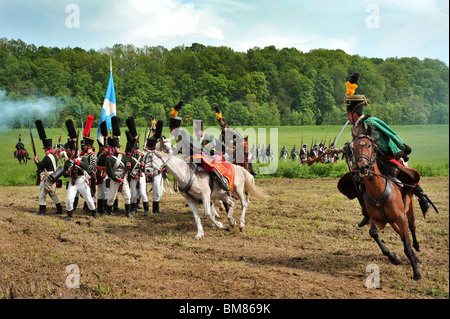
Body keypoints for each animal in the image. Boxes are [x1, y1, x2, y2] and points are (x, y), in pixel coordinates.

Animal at [354, 136, 424, 282]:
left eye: (369, 145)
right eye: (354, 148)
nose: (363, 167)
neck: (378, 191)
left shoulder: (401, 217)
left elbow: (407, 245)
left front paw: (416, 273)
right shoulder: (378, 220)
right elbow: (373, 233)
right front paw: (393, 258)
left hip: (409, 210)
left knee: (412, 228)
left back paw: (417, 252)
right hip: (392, 222)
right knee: (401, 234)